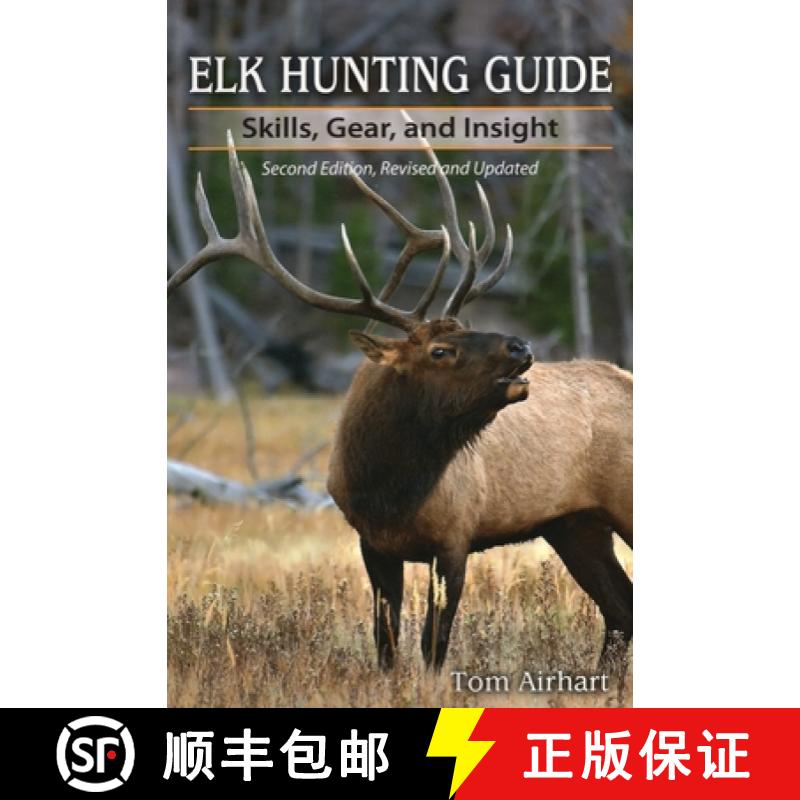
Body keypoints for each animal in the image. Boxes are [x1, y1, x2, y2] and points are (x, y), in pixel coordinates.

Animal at [168, 130, 632, 674]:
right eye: (440, 349)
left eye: (467, 326)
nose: (522, 346)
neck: (391, 490)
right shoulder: (373, 543)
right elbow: (385, 640)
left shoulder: (454, 539)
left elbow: (434, 644)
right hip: (574, 524)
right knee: (620, 609)